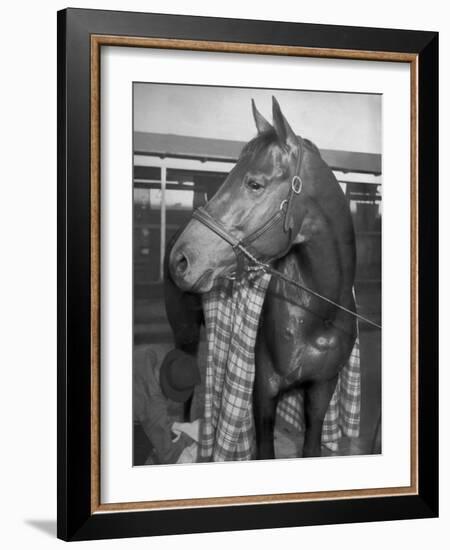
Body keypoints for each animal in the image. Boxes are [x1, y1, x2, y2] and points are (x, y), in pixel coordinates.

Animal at [164, 97, 356, 460]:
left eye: (255, 184)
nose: (181, 260)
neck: (317, 314)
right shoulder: (264, 391)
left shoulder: (321, 390)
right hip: (186, 335)